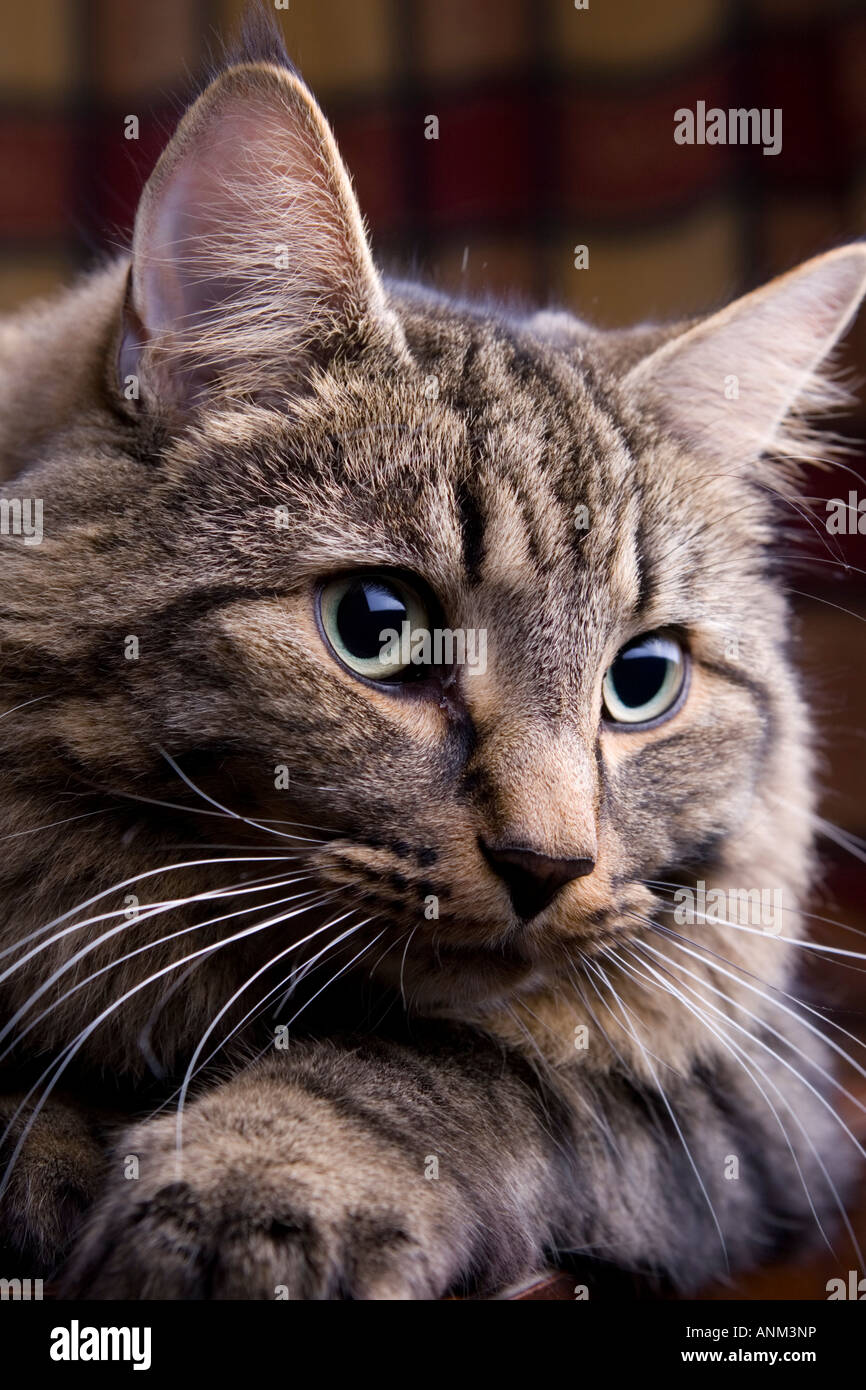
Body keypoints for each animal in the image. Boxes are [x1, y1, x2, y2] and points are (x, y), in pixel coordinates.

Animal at [1, 21, 866, 1295]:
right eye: (377, 626)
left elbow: (442, 1068)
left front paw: (257, 1187)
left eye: (640, 679)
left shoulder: (749, 1096)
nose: (548, 863)